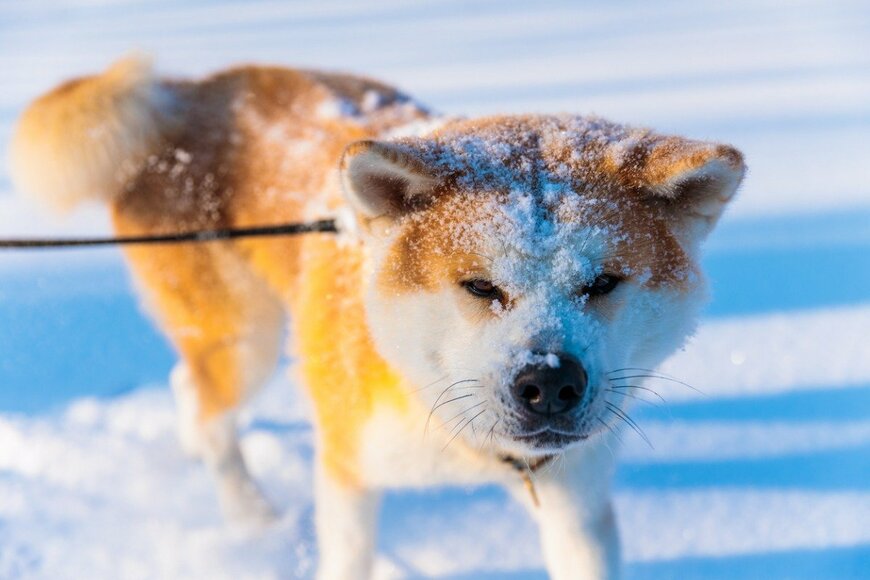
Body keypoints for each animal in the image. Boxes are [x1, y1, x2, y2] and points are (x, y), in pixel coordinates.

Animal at [10, 55, 744, 580]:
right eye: (479, 286)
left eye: (603, 283)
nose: (550, 383)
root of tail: (184, 92)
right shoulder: (347, 471)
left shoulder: (576, 504)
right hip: (246, 339)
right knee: (210, 404)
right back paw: (251, 516)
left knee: (188, 388)